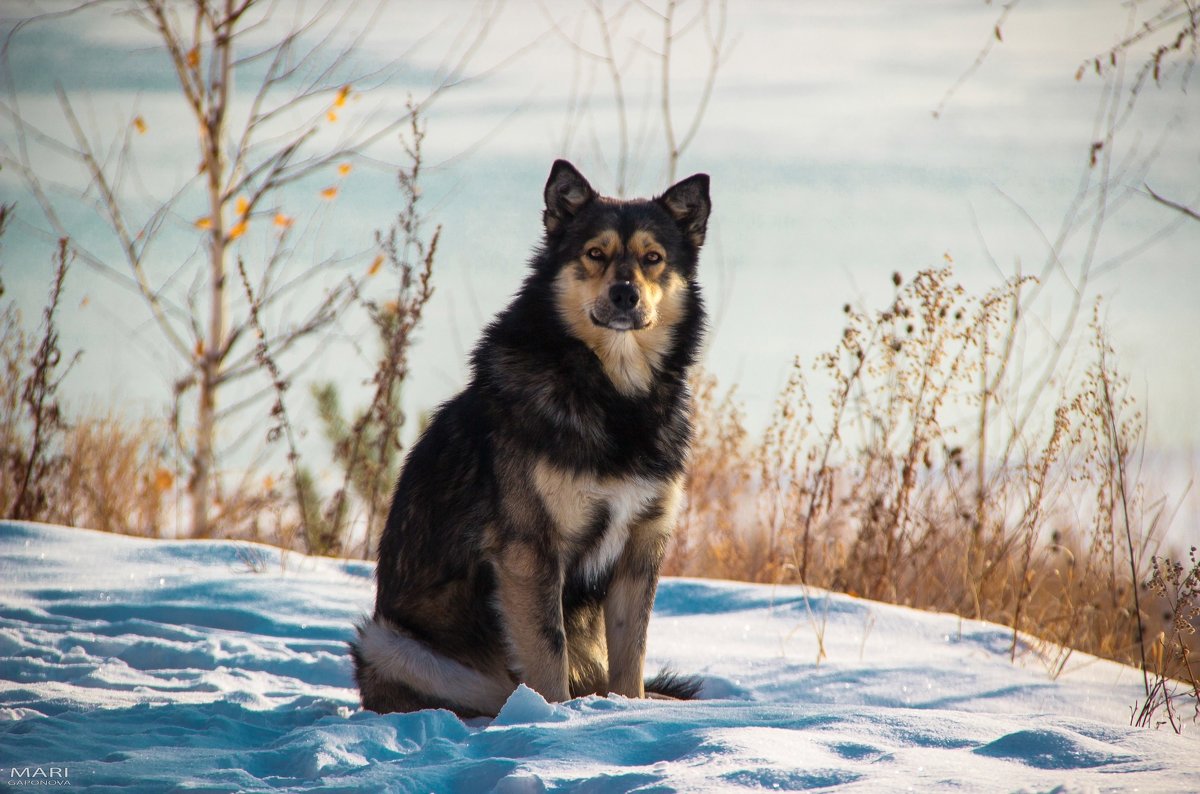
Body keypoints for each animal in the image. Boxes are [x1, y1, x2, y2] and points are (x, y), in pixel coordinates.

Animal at [348, 158, 705, 719]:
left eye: (653, 259)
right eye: (595, 253)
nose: (625, 294)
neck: (613, 395)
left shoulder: (640, 549)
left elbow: (632, 662)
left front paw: (628, 716)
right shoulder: (530, 551)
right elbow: (548, 653)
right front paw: (548, 723)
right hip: (387, 642)